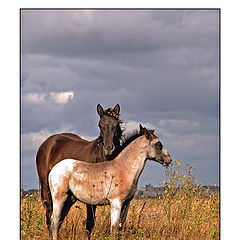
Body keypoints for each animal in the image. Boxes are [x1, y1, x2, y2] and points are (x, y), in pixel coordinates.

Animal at [36, 104, 123, 237]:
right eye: (100, 125)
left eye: (116, 125)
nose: (109, 148)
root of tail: (48, 142)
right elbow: (90, 223)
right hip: (47, 189)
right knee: (50, 214)